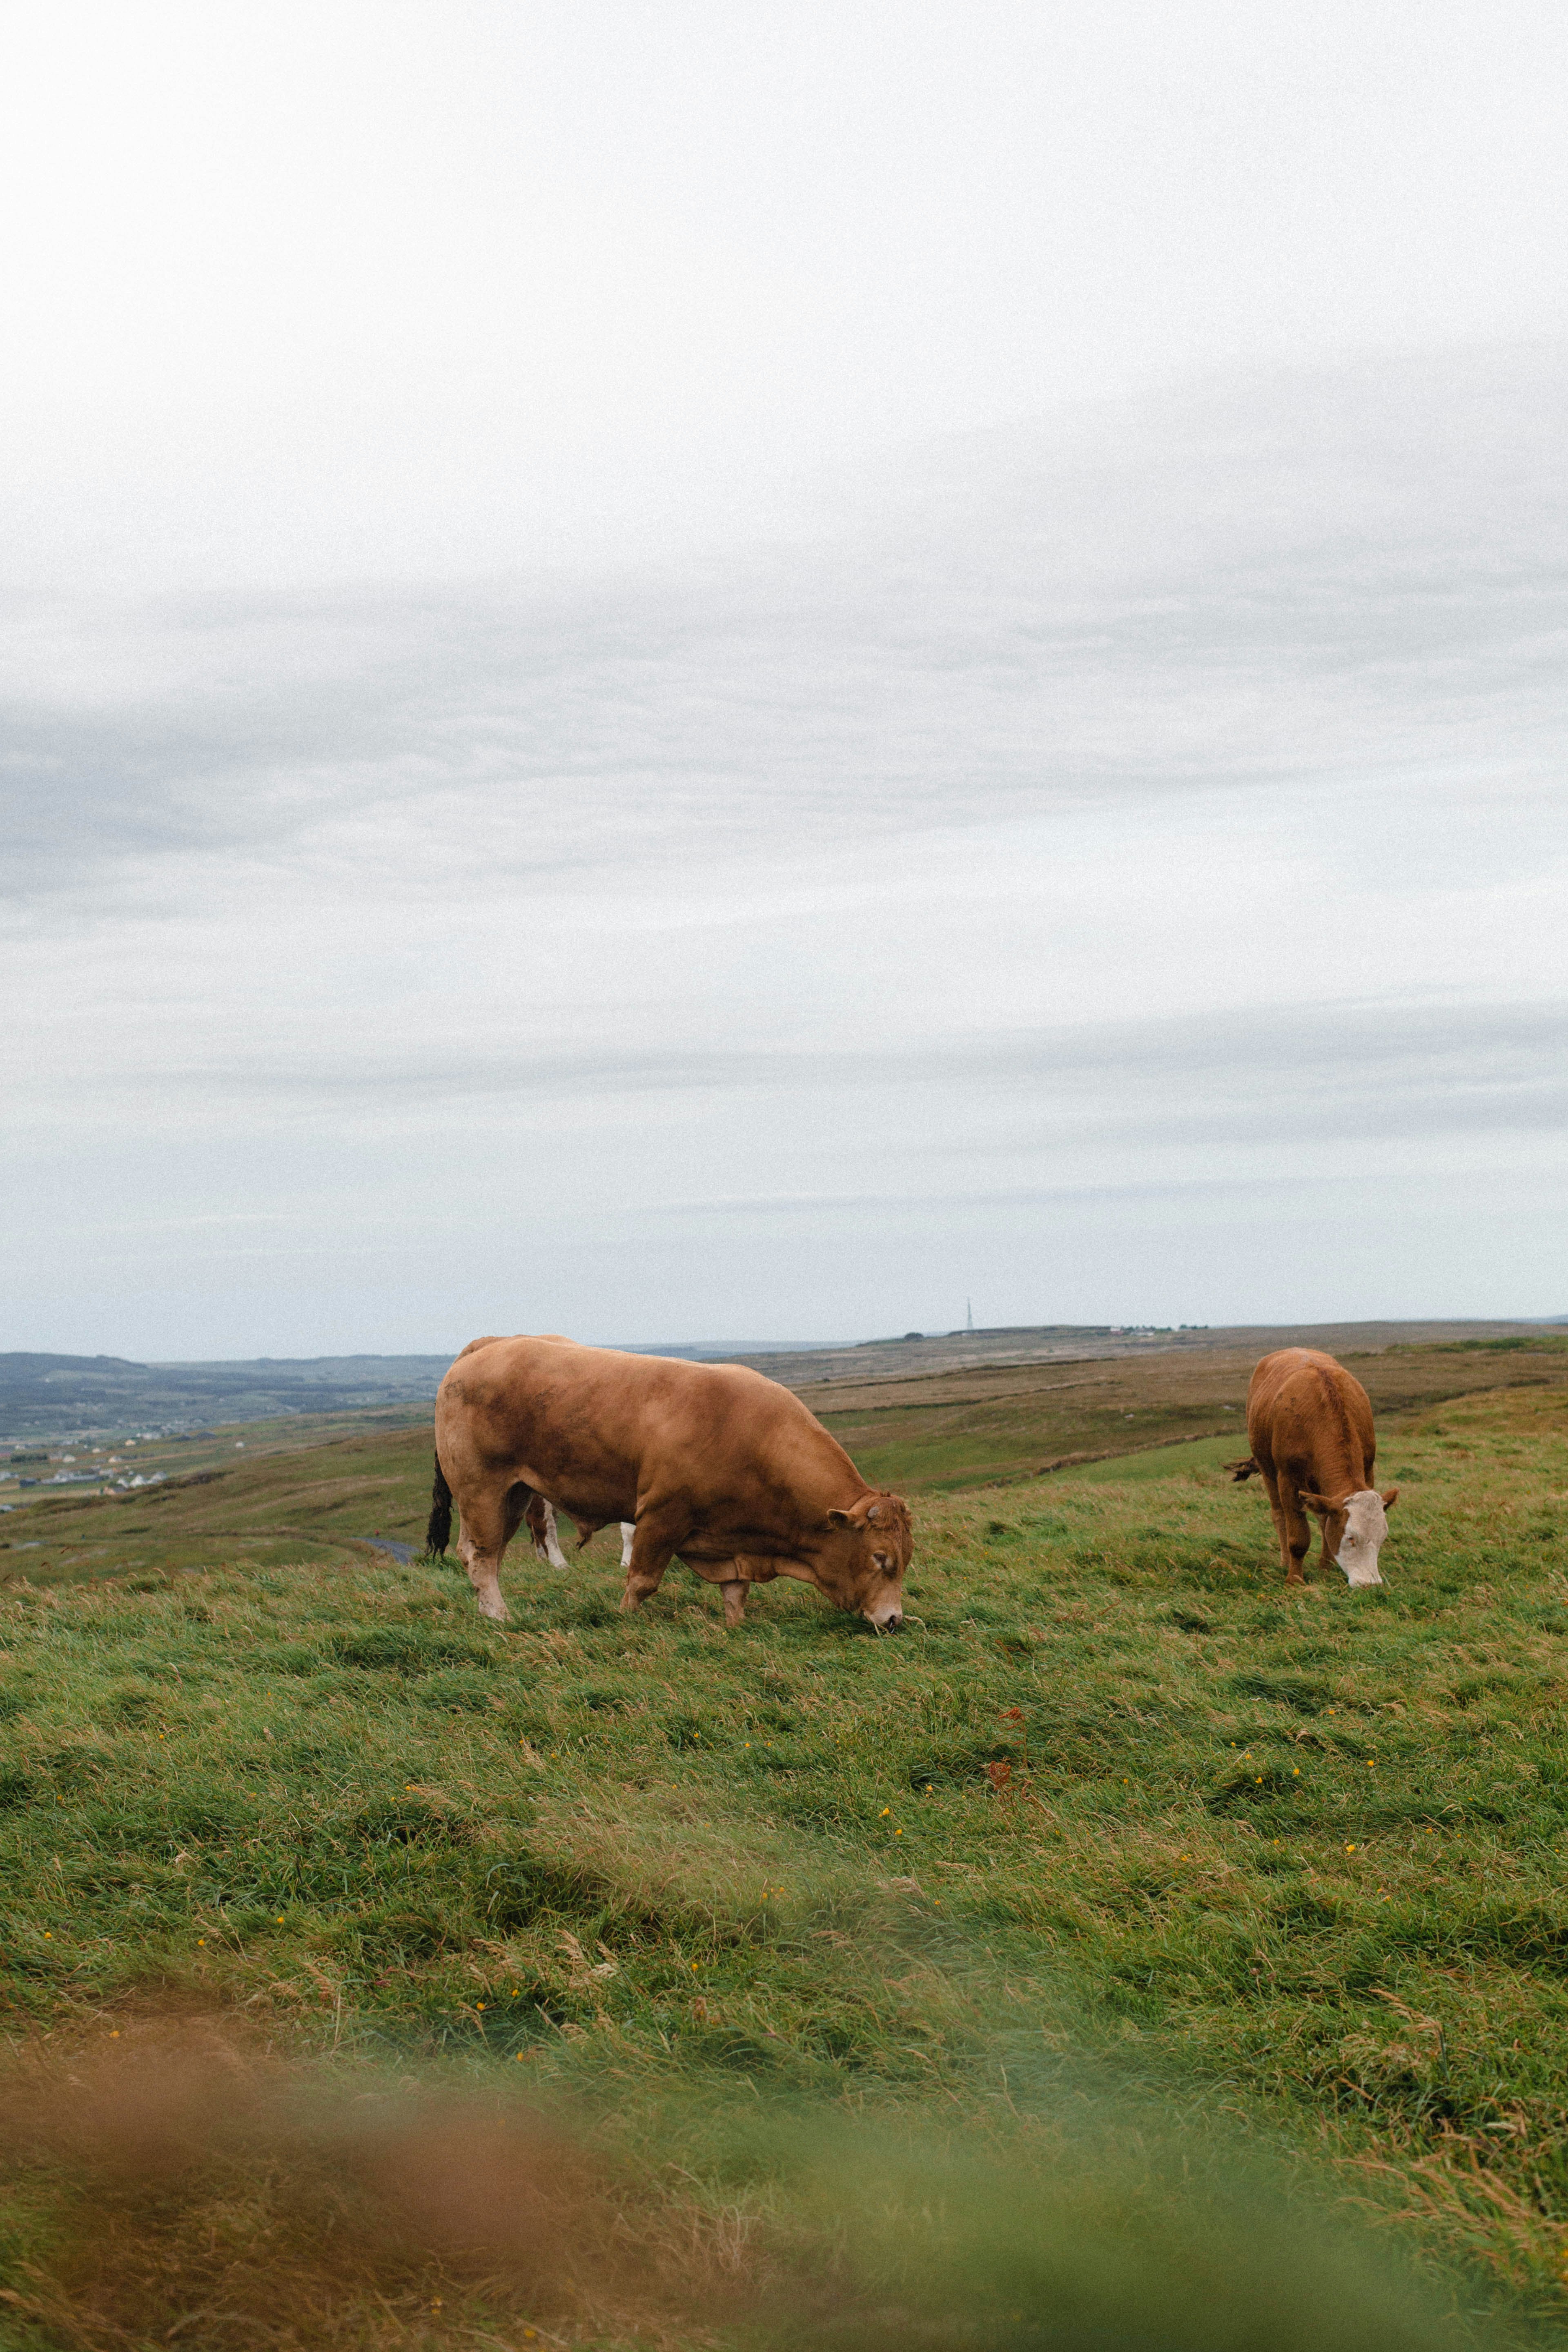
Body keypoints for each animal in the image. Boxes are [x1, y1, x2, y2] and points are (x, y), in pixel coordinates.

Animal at [426, 1332, 913, 1632]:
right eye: (880, 1558)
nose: (894, 1620)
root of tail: (490, 1344)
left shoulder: (731, 1539)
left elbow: (736, 1591)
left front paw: (734, 1625)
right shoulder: (663, 1515)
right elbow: (642, 1580)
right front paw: (626, 1620)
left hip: (513, 1494)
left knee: (483, 1554)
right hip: (484, 1491)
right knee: (482, 1558)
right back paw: (499, 1617)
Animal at [1230, 1347, 1398, 1587]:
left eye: (1382, 1537)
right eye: (1351, 1537)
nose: (1370, 1584)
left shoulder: (1367, 1472)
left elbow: (1326, 1522)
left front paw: (1326, 1568)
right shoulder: (1288, 1479)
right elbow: (1298, 1537)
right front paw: (1294, 1579)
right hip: (1267, 1469)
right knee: (1278, 1514)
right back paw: (1284, 1561)